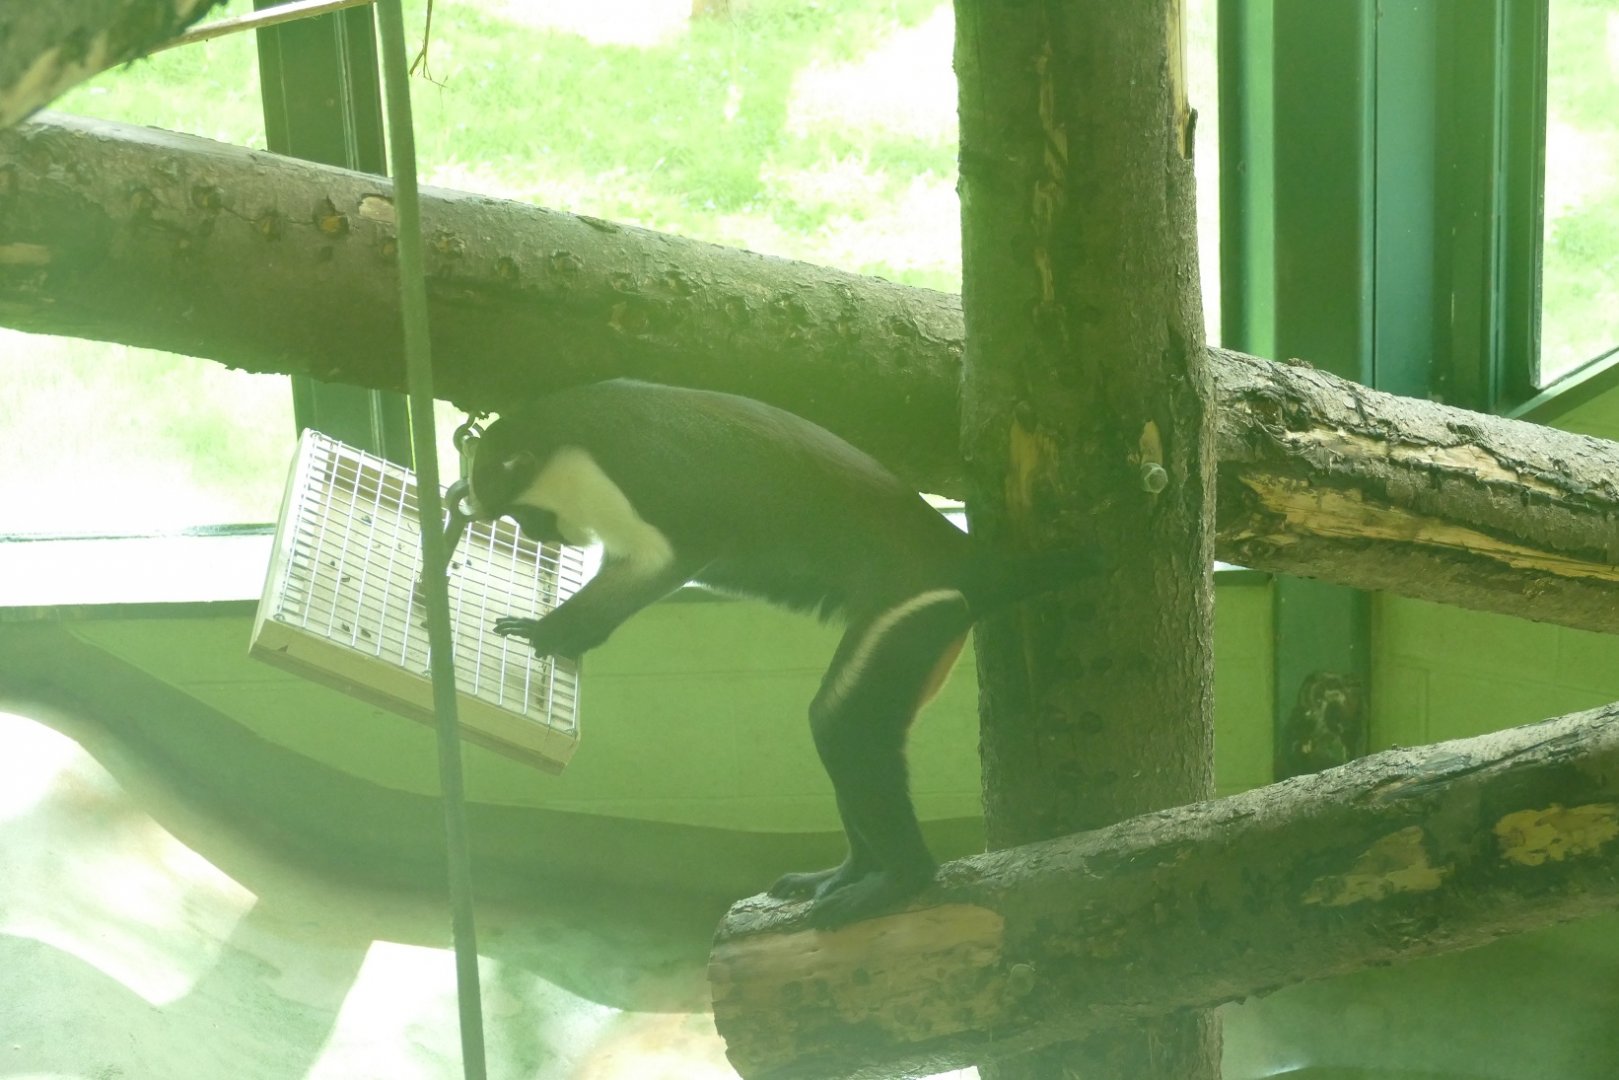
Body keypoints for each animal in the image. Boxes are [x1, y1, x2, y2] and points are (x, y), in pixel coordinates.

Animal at [463, 379, 1098, 927]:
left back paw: (901, 877)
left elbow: (666, 561)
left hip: (911, 609)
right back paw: (854, 869)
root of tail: (963, 557)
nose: (540, 535)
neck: (569, 431)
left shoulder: (636, 486)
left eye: (525, 512)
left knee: (841, 724)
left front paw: (549, 633)